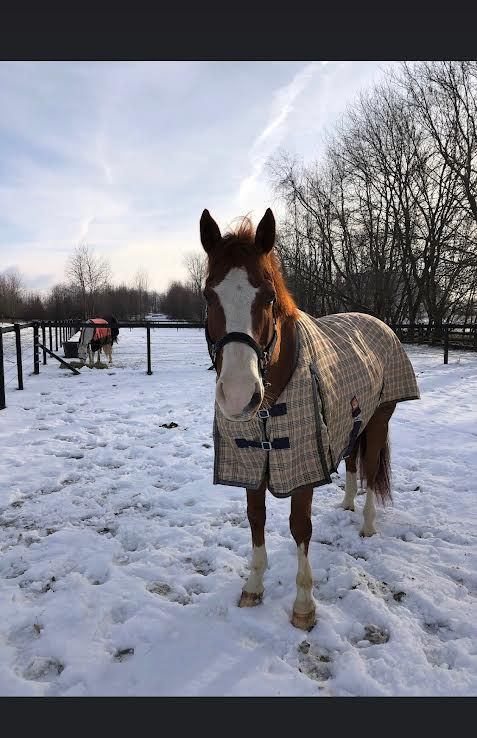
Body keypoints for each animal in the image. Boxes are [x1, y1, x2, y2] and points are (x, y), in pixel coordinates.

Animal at [200, 208, 420, 631]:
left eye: (268, 296)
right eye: (208, 295)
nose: (238, 395)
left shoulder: (301, 468)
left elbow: (300, 526)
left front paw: (304, 605)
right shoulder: (254, 461)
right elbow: (256, 518)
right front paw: (254, 586)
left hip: (379, 420)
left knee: (370, 468)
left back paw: (367, 524)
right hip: (352, 420)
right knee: (351, 461)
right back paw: (348, 504)